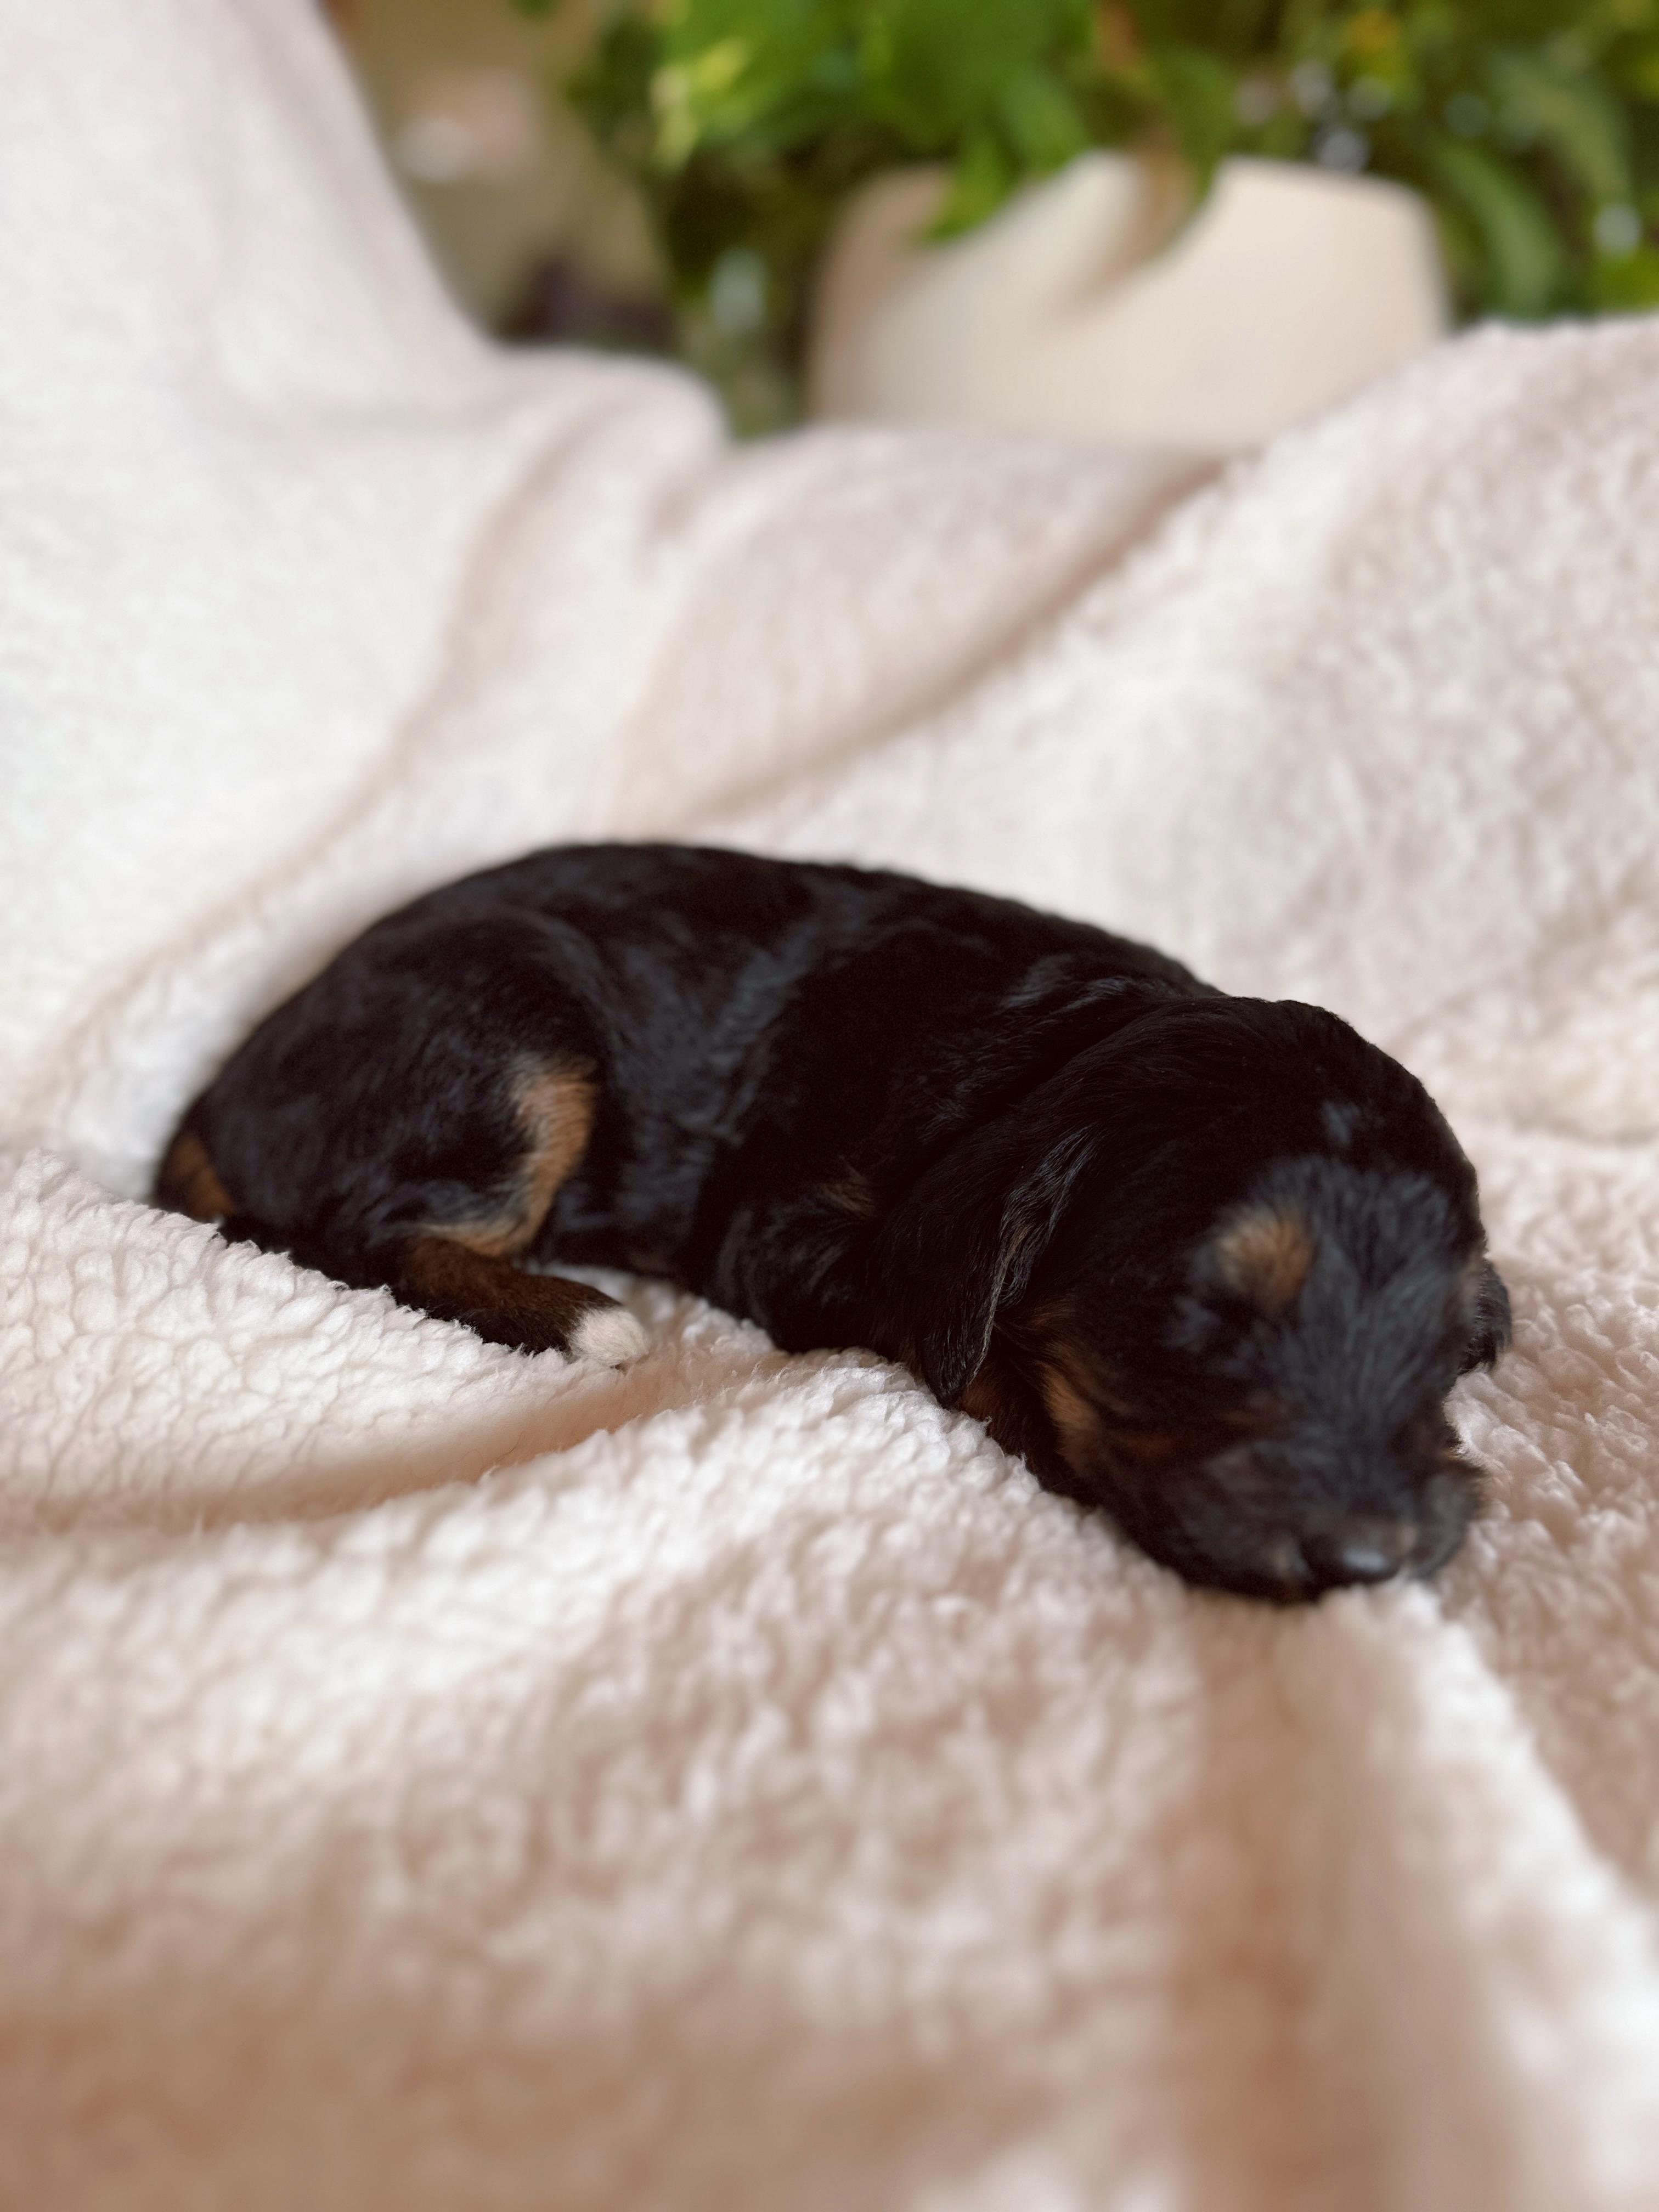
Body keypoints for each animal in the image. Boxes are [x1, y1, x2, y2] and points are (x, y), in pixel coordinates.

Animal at [155, 844, 1511, 1602]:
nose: (1370, 1561)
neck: (1074, 1048)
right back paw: (586, 1316)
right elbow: (952, 1340)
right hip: (512, 1033)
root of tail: (229, 1083)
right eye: (1201, 1310)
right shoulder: (790, 1229)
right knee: (368, 1232)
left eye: (1451, 1351)